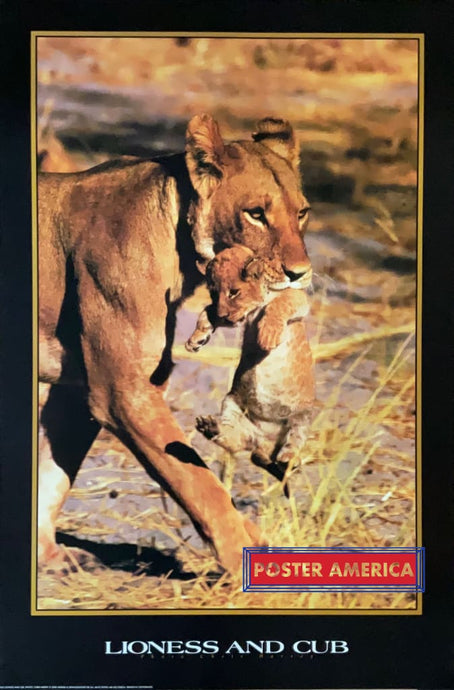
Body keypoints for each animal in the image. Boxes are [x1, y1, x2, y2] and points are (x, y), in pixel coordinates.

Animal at [186, 245, 315, 495]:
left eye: (234, 292)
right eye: (213, 292)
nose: (224, 315)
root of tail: (266, 443)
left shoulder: (298, 298)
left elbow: (282, 302)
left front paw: (268, 334)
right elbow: (206, 312)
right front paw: (196, 340)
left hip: (302, 417)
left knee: (294, 444)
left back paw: (286, 459)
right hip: (232, 405)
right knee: (237, 440)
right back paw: (211, 427)